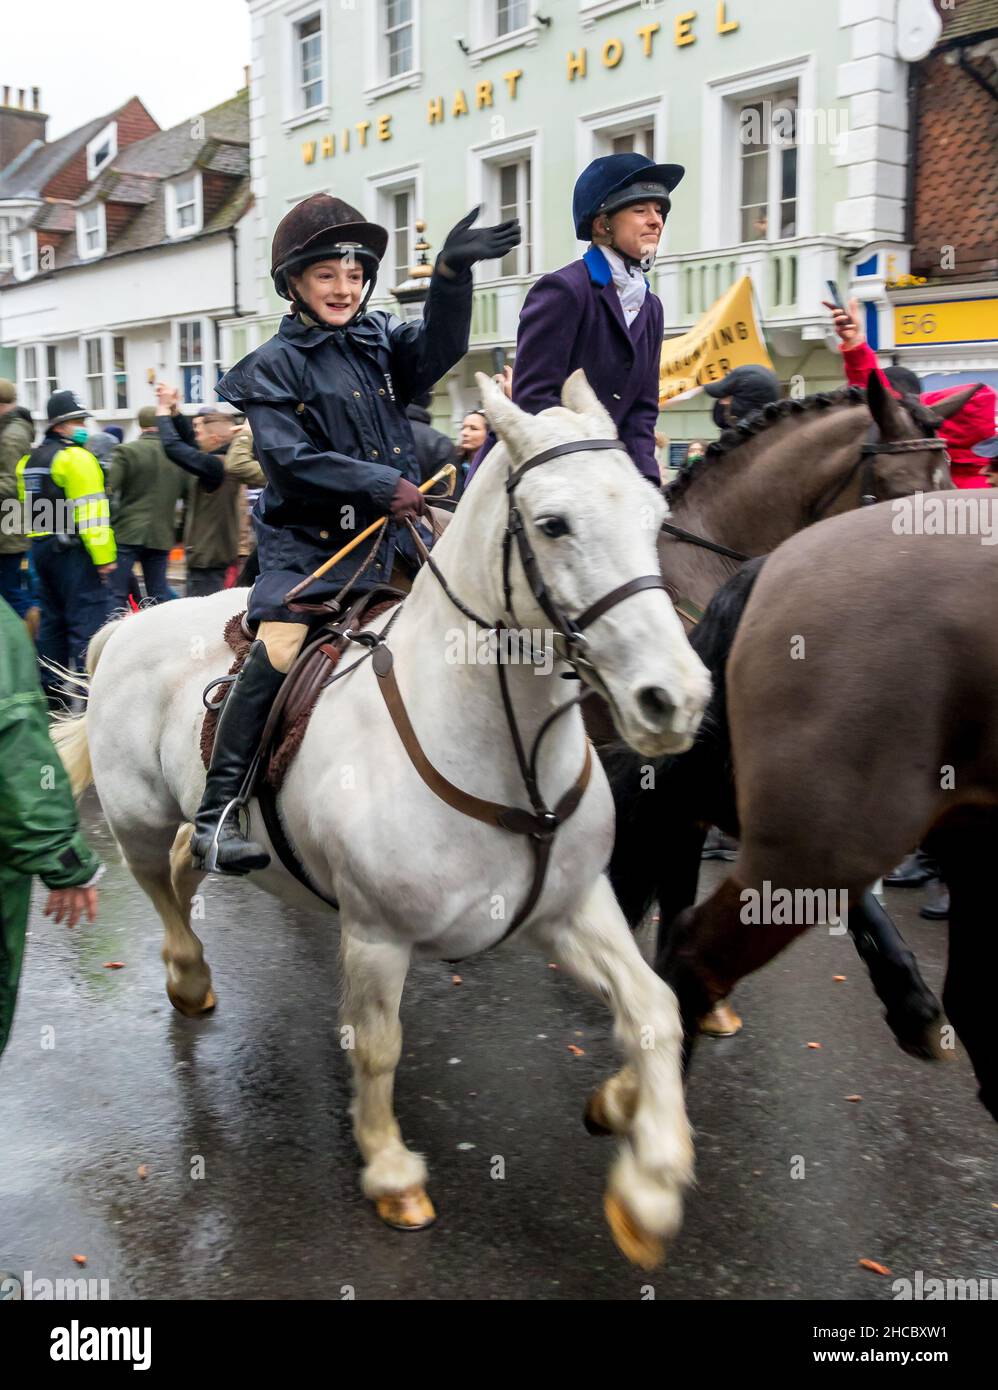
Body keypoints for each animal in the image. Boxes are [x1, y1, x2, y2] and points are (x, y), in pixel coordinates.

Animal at [56, 375, 711, 1267]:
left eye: (654, 512)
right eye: (553, 523)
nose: (675, 698)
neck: (495, 749)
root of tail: (132, 620)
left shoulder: (573, 909)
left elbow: (652, 1011)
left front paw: (647, 1175)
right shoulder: (376, 934)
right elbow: (376, 1045)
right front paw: (392, 1170)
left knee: (195, 859)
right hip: (139, 821)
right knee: (163, 887)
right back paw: (188, 979)